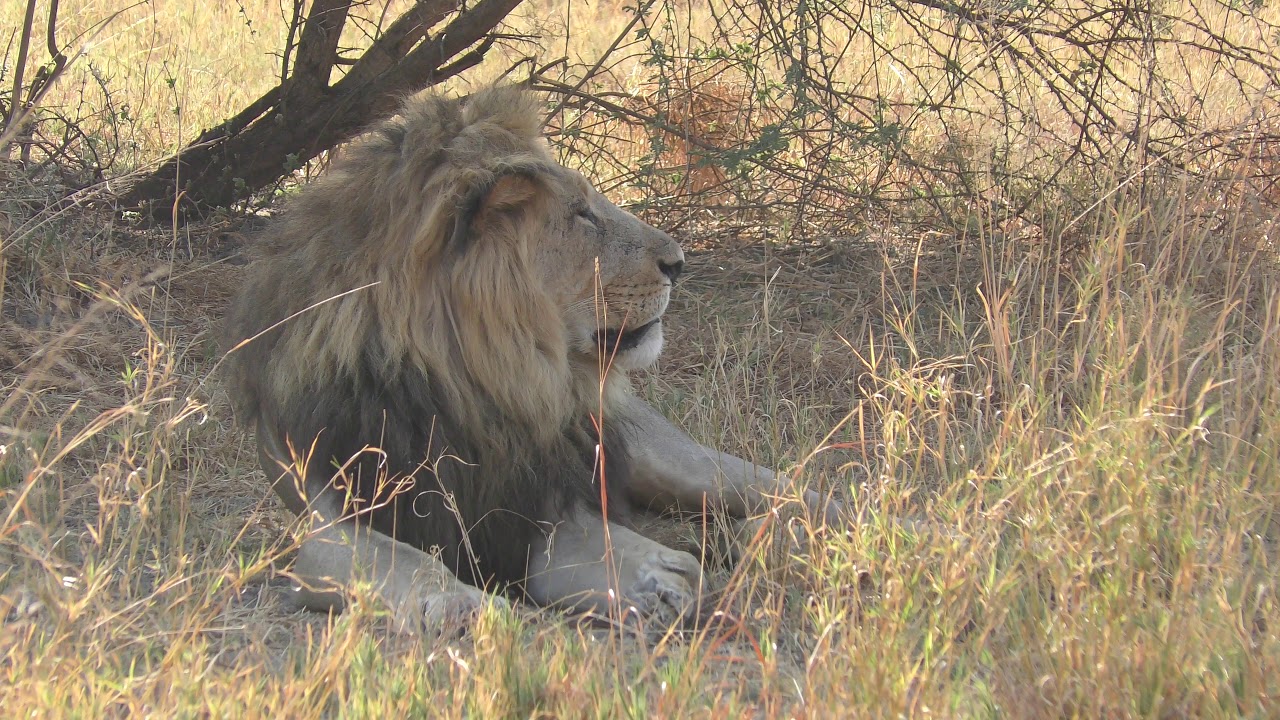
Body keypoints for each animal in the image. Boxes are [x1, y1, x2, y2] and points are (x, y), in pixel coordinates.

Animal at [222, 86, 839, 634]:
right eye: (583, 215)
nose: (679, 262)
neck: (471, 385)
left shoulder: (532, 503)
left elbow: (603, 544)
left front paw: (660, 574)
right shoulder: (328, 519)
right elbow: (397, 559)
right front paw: (459, 605)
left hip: (671, 460)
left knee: (785, 488)